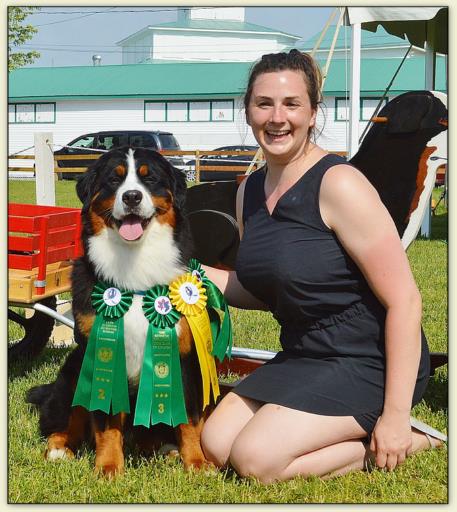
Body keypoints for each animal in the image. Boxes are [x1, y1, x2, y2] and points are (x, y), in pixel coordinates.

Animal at [28, 147, 212, 476]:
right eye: (114, 180)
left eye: (149, 178)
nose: (132, 197)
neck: (134, 270)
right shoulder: (102, 353)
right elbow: (106, 424)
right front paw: (109, 466)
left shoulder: (183, 358)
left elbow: (189, 420)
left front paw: (196, 463)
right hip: (72, 374)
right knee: (62, 420)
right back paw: (59, 449)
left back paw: (167, 449)